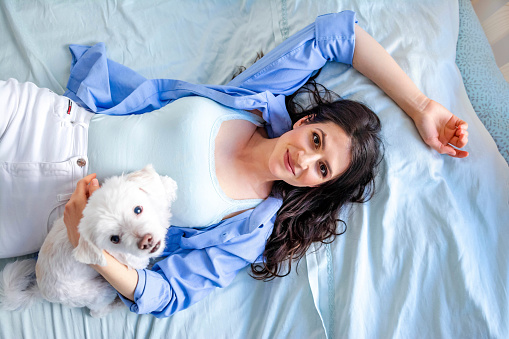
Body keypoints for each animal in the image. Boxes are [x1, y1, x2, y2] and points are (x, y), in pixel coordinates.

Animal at [0, 165, 177, 318]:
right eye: (115, 239)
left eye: (138, 209)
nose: (146, 241)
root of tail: (40, 290)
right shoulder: (131, 260)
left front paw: (166, 186)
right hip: (101, 290)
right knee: (96, 312)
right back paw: (117, 304)